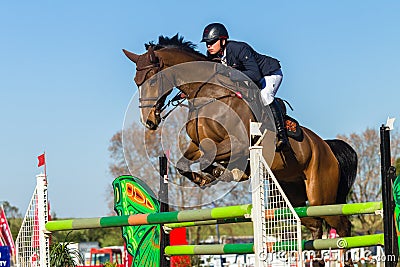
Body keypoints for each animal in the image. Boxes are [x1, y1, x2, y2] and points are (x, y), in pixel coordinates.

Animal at [123, 34, 358, 266]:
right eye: (136, 82)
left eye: (153, 80)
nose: (149, 122)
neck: (208, 94)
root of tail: (326, 146)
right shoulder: (198, 145)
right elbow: (183, 163)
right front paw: (205, 177)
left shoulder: (238, 143)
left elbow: (212, 157)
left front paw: (227, 172)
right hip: (293, 196)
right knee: (315, 224)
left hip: (321, 194)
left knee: (342, 225)